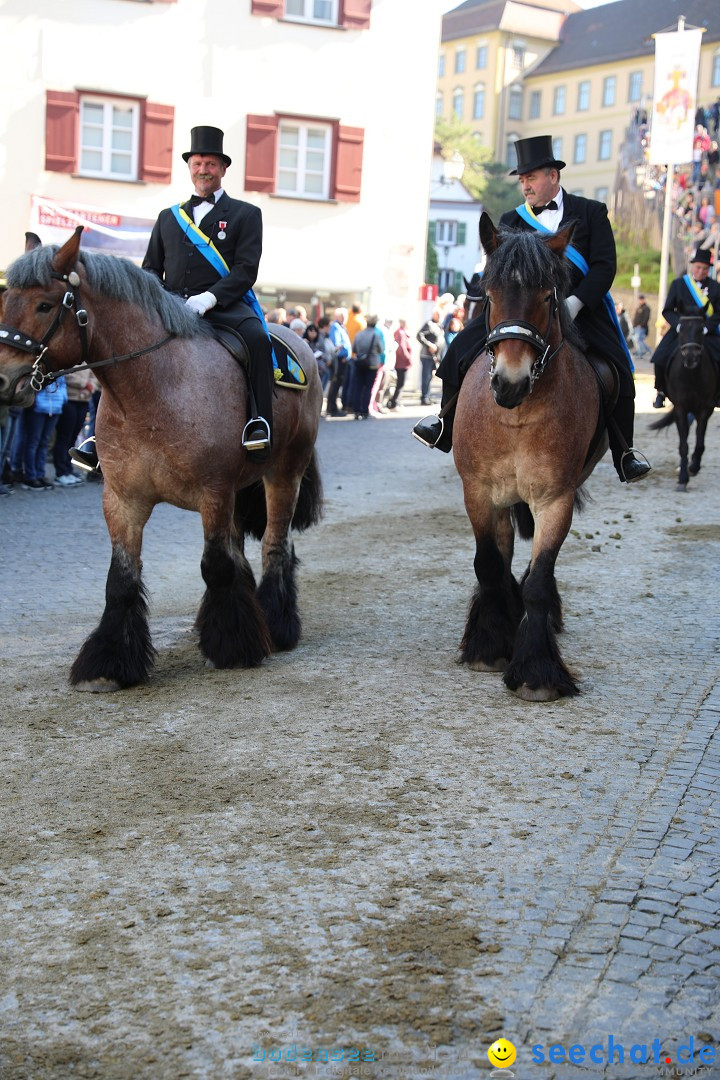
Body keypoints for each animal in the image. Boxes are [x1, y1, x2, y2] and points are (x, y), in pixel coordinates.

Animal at [0, 225, 321, 691]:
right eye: (5, 299)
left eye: (44, 304)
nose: (4, 380)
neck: (153, 388)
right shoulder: (122, 500)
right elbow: (121, 580)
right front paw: (109, 664)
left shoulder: (213, 493)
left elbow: (215, 565)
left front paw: (232, 647)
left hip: (284, 473)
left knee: (275, 545)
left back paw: (277, 625)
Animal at [651, 315, 716, 492]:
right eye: (682, 329)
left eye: (701, 330)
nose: (690, 358)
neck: (691, 375)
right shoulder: (681, 407)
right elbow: (683, 444)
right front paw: (683, 478)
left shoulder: (706, 408)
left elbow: (699, 443)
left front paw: (693, 467)